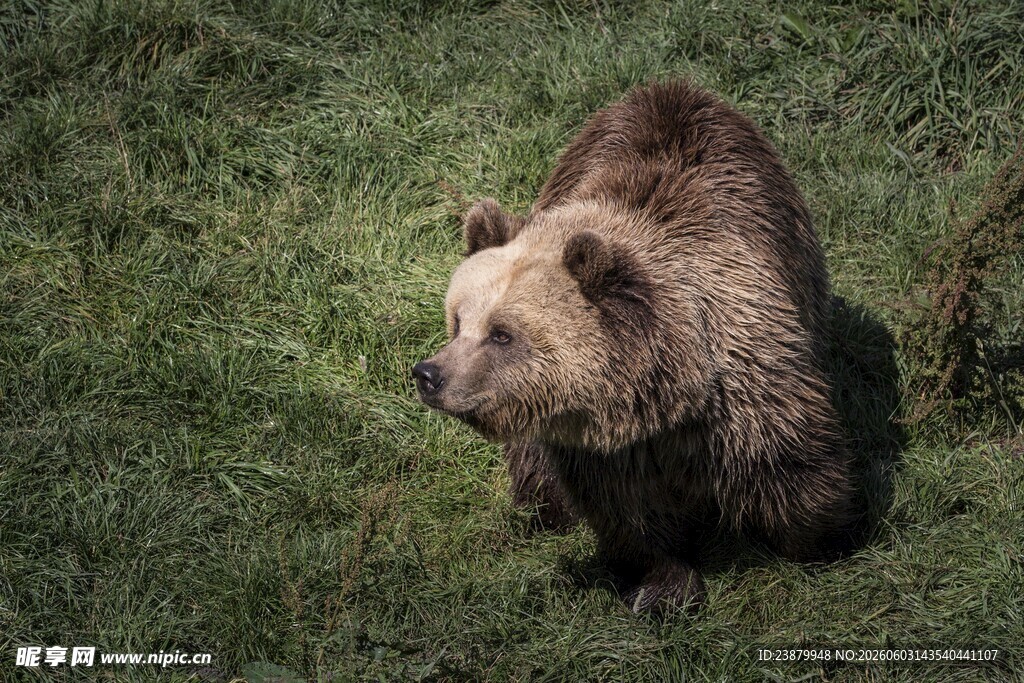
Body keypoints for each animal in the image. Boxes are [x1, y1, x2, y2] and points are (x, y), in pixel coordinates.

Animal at [413, 80, 854, 613]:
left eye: (502, 333)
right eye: (459, 322)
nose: (429, 374)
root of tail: (675, 87)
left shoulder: (743, 384)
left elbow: (789, 464)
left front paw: (820, 539)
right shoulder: (600, 446)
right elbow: (630, 515)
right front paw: (662, 586)